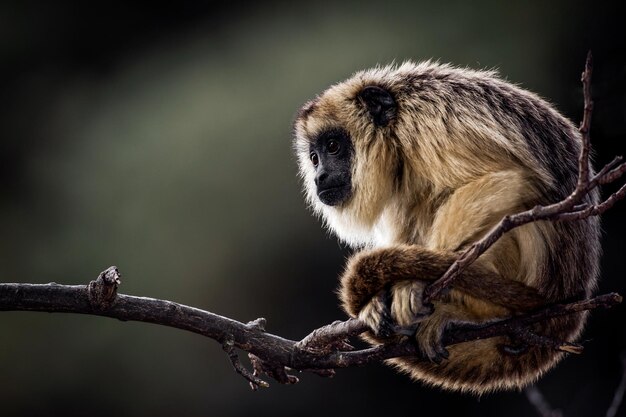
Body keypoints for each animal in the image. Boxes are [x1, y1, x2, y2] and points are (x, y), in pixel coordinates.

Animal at [292, 61, 600, 394]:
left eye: (333, 146)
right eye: (314, 157)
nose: (319, 176)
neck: (396, 128)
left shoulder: (429, 124)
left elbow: (505, 180)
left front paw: (414, 282)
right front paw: (379, 298)